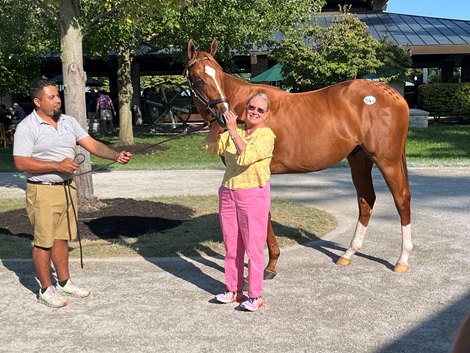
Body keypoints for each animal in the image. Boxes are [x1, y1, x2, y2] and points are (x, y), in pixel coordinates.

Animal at [186, 39, 412, 276]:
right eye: (200, 79)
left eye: (219, 75)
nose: (224, 114)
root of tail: (391, 93)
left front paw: (270, 264)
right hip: (359, 160)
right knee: (366, 200)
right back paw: (348, 254)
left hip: (387, 161)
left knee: (401, 199)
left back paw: (402, 259)